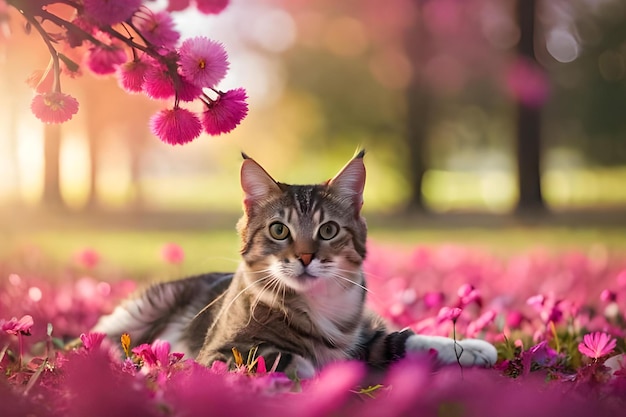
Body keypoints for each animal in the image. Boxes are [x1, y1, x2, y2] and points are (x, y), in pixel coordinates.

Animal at [89, 150, 498, 376]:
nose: (304, 257)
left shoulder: (360, 337)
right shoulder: (217, 352)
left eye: (328, 230)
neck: (315, 305)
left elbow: (403, 338)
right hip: (140, 314)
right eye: (279, 230)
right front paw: (309, 368)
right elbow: (275, 355)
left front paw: (470, 347)